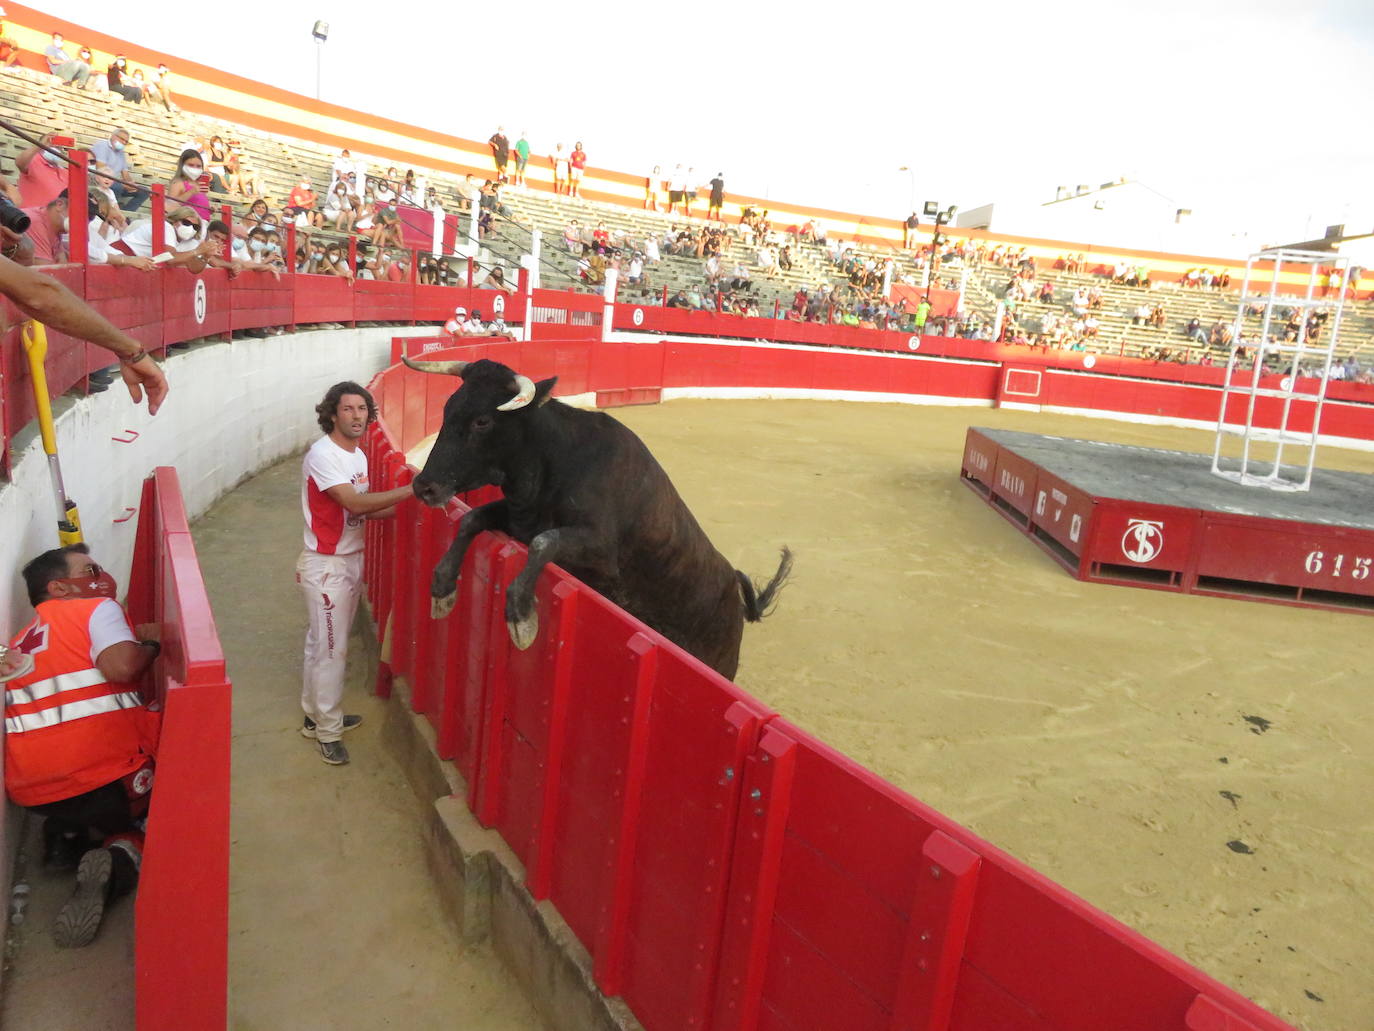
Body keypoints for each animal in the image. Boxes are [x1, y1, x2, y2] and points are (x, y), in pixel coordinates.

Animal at [401, 360, 791, 681]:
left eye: (482, 420)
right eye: (448, 408)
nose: (424, 486)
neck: (555, 457)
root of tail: (734, 587)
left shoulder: (601, 555)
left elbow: (545, 543)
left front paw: (521, 617)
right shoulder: (520, 520)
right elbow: (473, 519)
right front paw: (442, 588)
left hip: (719, 664)